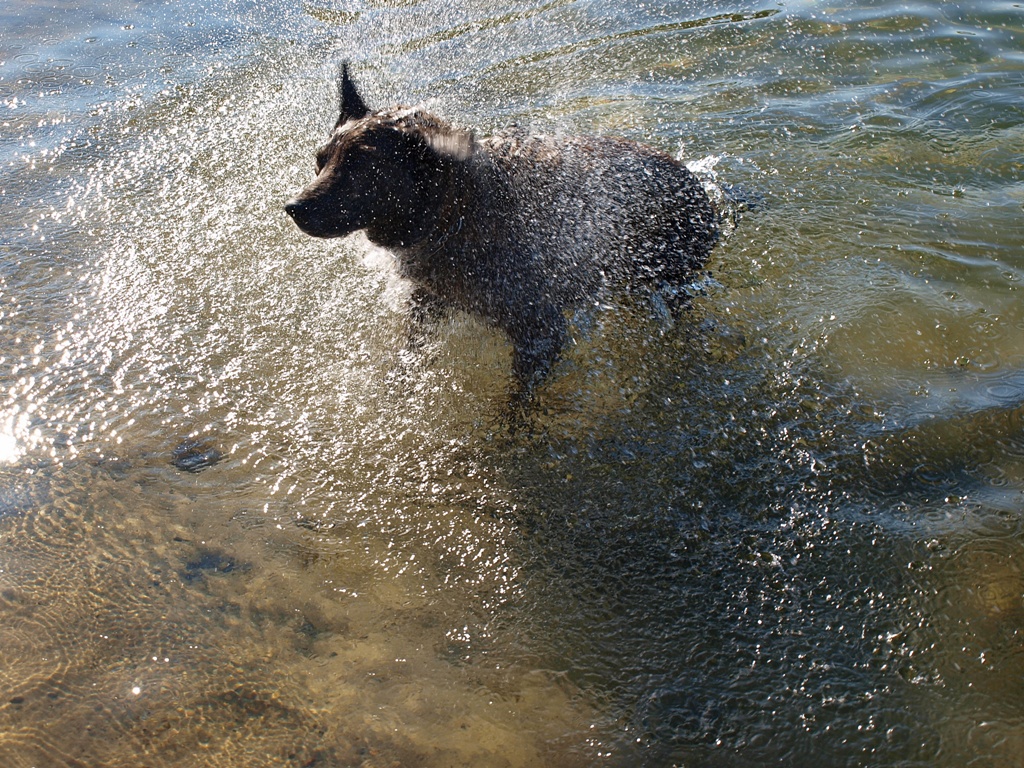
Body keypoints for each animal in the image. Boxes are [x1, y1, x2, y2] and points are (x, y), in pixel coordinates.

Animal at [288, 66, 720, 411]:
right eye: (320, 160)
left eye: (360, 167)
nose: (293, 207)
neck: (457, 212)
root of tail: (705, 195)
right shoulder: (428, 302)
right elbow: (410, 355)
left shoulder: (540, 333)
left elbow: (514, 408)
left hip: (667, 278)